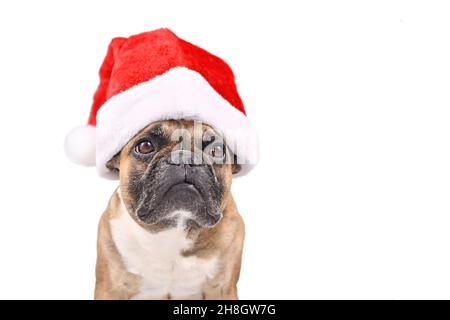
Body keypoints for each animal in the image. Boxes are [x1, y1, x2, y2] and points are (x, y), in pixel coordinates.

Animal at [92, 120, 244, 300]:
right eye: (145, 146)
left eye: (216, 150)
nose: (184, 157)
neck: (173, 229)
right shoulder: (111, 289)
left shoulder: (222, 289)